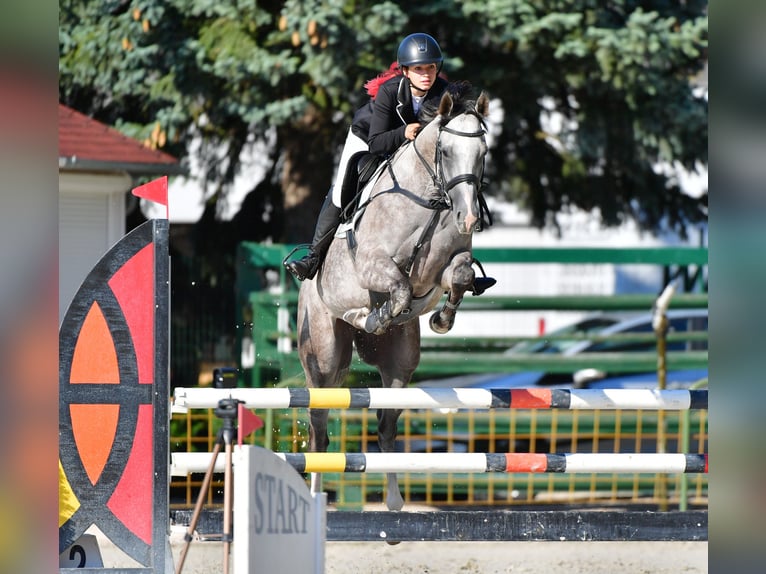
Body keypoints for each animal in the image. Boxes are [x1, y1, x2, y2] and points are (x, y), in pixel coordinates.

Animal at [296, 89, 488, 512]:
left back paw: (395, 501)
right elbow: (398, 288)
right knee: (319, 430)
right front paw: (371, 316)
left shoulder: (442, 272)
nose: (468, 218)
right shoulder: (372, 266)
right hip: (324, 354)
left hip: (400, 364)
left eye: (483, 152)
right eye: (445, 151)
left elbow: (459, 277)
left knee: (386, 427)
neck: (432, 201)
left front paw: (441, 321)